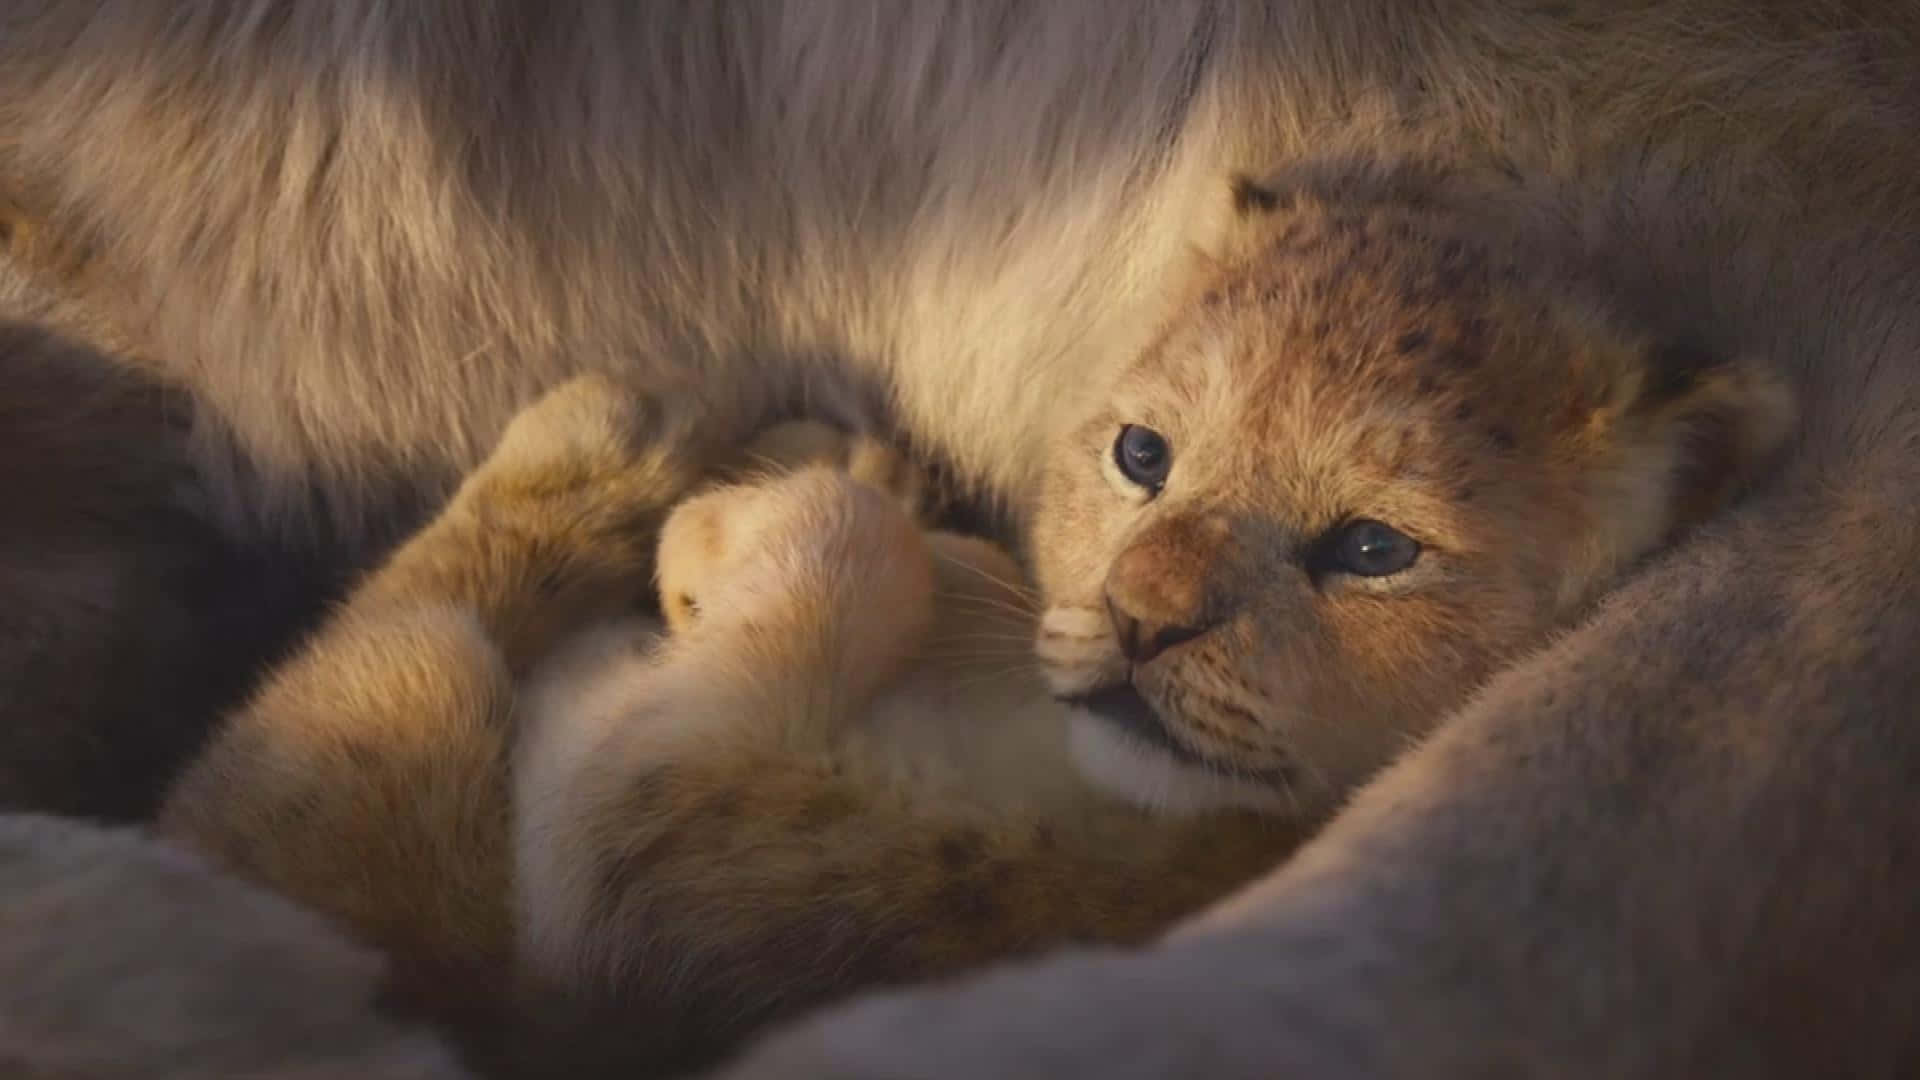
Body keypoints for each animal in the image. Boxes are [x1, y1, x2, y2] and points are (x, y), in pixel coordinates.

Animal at [3, 2, 1920, 1076]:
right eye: (1144, 454)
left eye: (1375, 552)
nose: (1141, 624)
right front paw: (791, 496)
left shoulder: (659, 832)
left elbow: (802, 581)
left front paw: (742, 522)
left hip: (397, 763)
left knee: (399, 645)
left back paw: (624, 439)